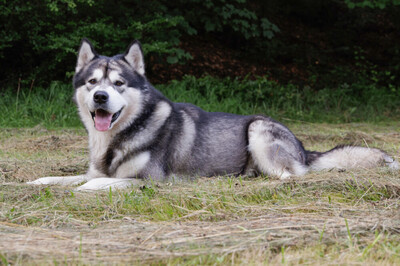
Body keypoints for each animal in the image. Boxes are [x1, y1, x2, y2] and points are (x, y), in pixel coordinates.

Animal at [27, 38, 396, 190]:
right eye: (92, 82)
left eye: (118, 83)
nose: (101, 97)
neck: (117, 138)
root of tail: (304, 147)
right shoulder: (95, 168)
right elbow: (68, 177)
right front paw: (36, 182)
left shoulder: (148, 180)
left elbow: (95, 183)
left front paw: (78, 191)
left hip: (258, 129)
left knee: (292, 175)